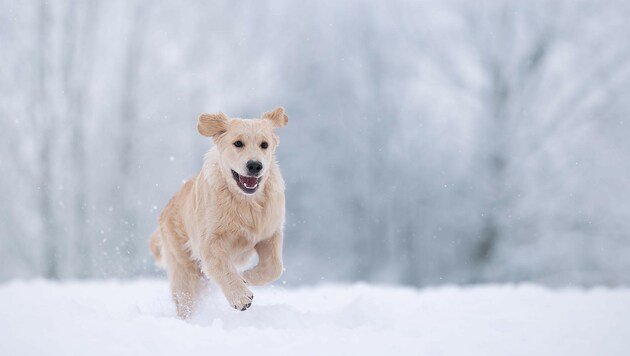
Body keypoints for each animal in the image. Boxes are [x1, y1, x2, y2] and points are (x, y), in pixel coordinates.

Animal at [152, 107, 290, 318]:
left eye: (264, 145)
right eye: (238, 143)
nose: (255, 165)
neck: (245, 201)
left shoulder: (269, 233)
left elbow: (274, 267)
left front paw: (247, 277)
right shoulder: (210, 240)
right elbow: (224, 268)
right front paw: (240, 296)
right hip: (183, 268)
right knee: (184, 299)